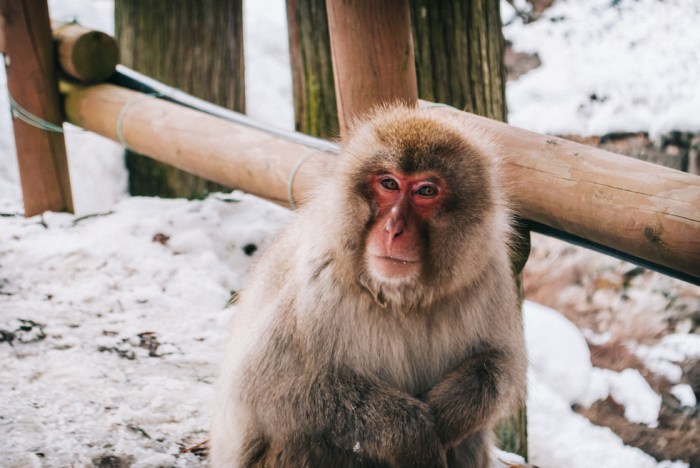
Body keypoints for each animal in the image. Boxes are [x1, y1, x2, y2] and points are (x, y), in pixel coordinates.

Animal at [210, 104, 526, 468]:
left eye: (426, 191)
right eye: (388, 183)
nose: (393, 229)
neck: (398, 296)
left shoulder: (489, 272)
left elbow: (498, 364)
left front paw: (447, 416)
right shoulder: (316, 285)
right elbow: (265, 387)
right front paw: (414, 434)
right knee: (297, 437)